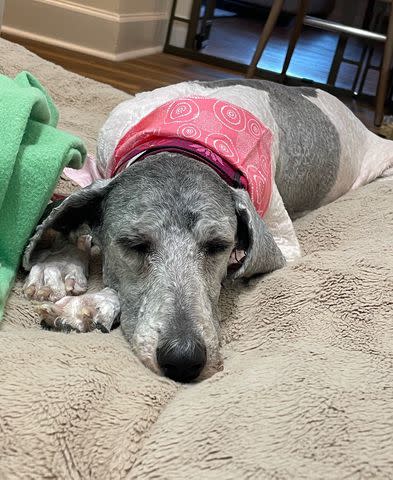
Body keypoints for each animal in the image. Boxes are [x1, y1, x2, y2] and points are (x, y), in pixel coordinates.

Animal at [22, 79, 392, 382]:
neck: (185, 143)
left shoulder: (281, 244)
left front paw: (87, 306)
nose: (184, 359)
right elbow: (74, 219)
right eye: (133, 244)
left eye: (217, 246)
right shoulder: (98, 171)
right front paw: (57, 267)